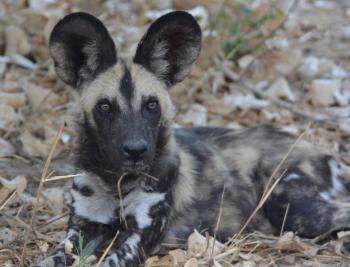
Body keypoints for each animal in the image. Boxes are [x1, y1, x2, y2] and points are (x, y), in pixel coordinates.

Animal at [32, 10, 350, 267]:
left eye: (151, 105)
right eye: (105, 107)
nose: (136, 151)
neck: (116, 184)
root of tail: (320, 150)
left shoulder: (137, 239)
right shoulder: (81, 231)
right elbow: (49, 258)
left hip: (292, 207)